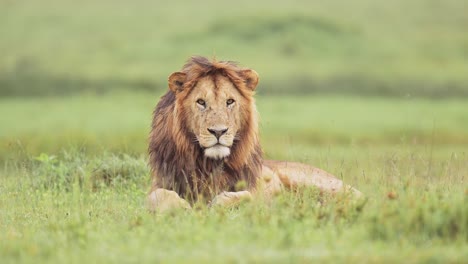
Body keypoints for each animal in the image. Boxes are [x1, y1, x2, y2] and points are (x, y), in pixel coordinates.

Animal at [148, 56, 360, 211]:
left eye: (230, 101)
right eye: (201, 102)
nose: (218, 131)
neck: (209, 164)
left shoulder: (254, 190)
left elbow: (246, 197)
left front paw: (216, 203)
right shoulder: (161, 183)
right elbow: (157, 196)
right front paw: (183, 206)